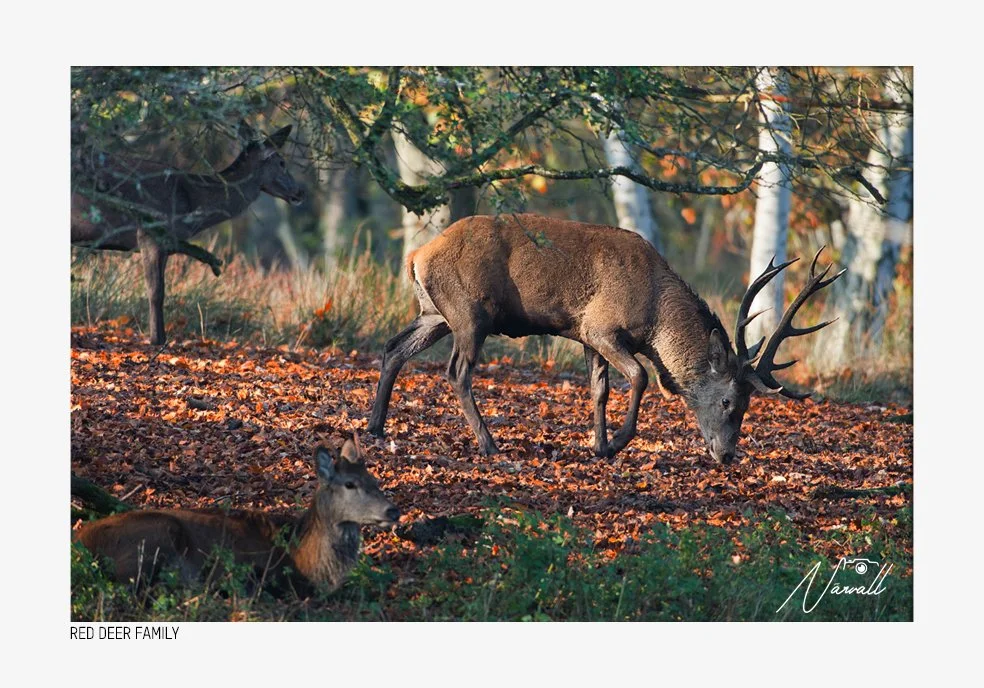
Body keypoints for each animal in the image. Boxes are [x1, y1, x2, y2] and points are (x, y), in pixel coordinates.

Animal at [71, 121, 305, 345]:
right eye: (282, 162)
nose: (300, 192)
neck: (192, 198)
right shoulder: (150, 233)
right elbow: (155, 291)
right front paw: (156, 340)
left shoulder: (167, 244)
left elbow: (161, 289)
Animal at [367, 213, 844, 463]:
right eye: (729, 401)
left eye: (747, 404)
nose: (727, 455)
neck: (654, 318)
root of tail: (416, 255)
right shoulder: (601, 326)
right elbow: (639, 377)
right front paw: (615, 442)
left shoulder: (584, 335)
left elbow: (598, 389)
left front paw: (597, 446)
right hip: (469, 313)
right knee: (456, 371)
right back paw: (489, 443)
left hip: (435, 314)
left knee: (393, 348)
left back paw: (374, 426)